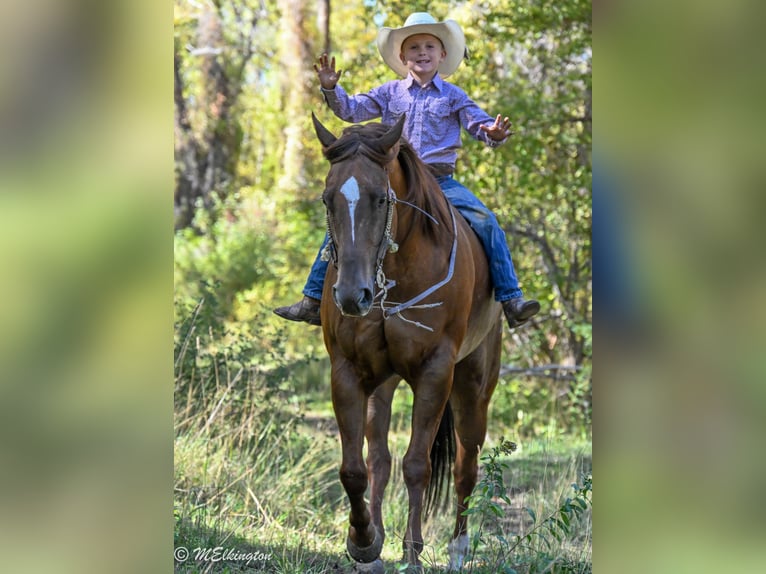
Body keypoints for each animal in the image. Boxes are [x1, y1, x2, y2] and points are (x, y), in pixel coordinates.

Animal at [312, 113, 503, 573]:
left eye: (382, 199)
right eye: (327, 200)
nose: (352, 295)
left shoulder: (434, 373)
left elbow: (417, 465)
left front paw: (412, 553)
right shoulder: (347, 371)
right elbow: (354, 469)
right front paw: (364, 542)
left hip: (473, 388)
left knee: (465, 467)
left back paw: (457, 550)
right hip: (383, 383)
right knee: (379, 459)